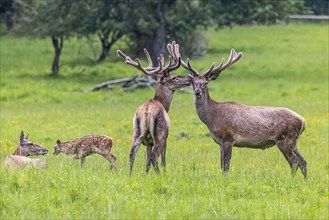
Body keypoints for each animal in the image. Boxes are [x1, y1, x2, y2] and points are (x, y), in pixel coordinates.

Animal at [117, 41, 190, 175]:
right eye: (173, 78)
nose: (188, 79)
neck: (163, 103)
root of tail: (146, 112)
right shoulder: (165, 137)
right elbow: (163, 159)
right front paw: (165, 172)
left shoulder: (148, 142)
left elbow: (146, 162)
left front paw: (146, 174)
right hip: (159, 134)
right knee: (154, 157)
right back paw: (159, 175)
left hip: (137, 132)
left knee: (132, 154)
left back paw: (130, 175)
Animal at [170, 43, 306, 179]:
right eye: (193, 82)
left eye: (206, 82)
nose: (197, 92)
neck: (212, 118)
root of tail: (303, 121)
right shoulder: (220, 142)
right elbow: (221, 165)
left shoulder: (228, 138)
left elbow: (226, 166)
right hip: (293, 141)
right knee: (302, 161)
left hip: (284, 139)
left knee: (294, 162)